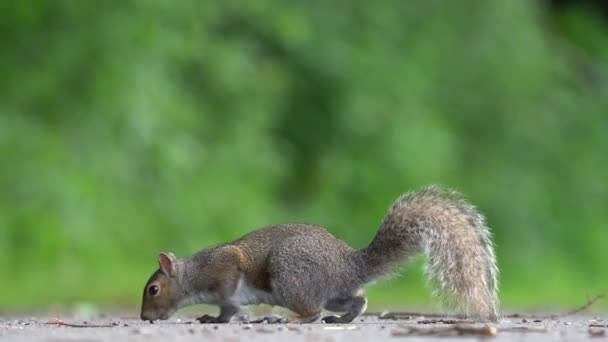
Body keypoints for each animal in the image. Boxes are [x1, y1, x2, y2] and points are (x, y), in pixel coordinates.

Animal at [139, 186, 498, 322]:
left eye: (153, 289)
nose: (143, 317)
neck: (192, 276)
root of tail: (349, 265)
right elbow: (224, 312)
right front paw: (213, 318)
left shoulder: (224, 267)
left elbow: (229, 298)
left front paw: (235, 313)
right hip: (335, 293)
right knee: (357, 300)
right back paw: (343, 319)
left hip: (290, 277)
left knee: (310, 312)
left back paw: (290, 318)